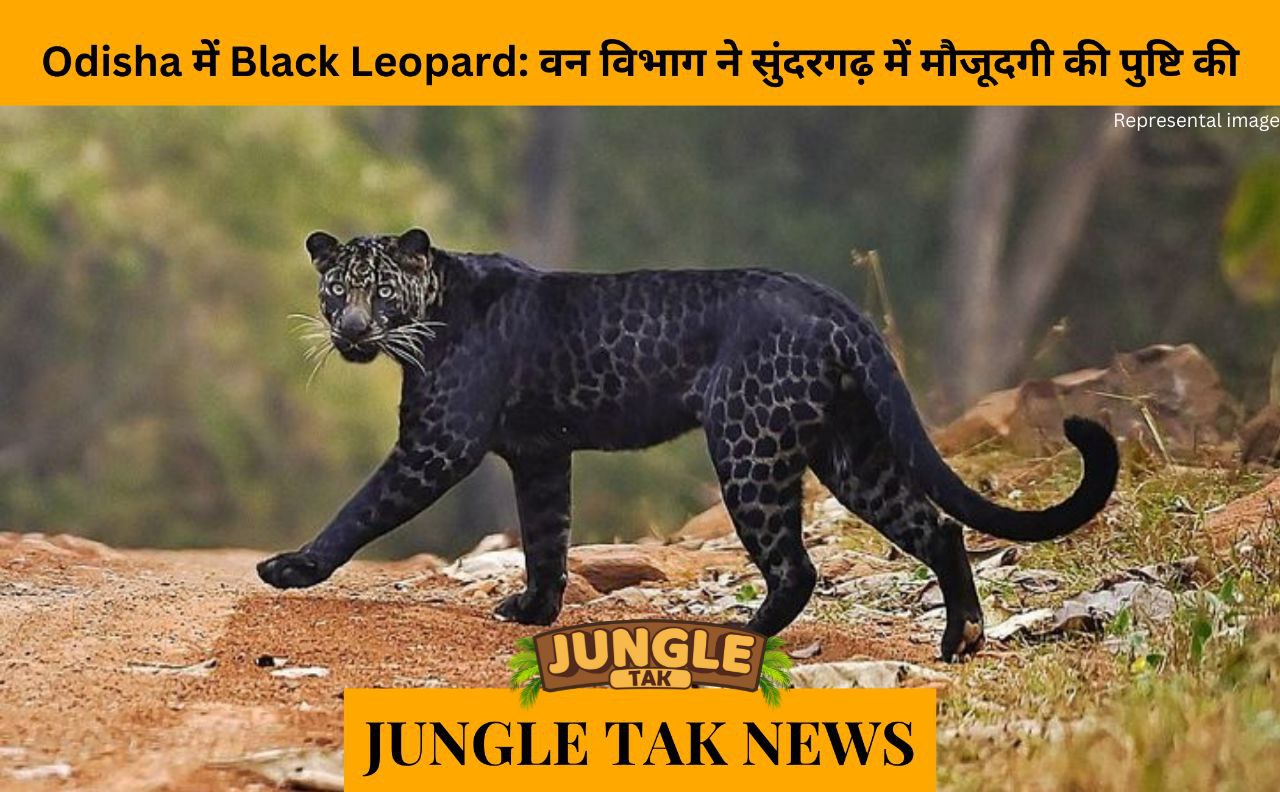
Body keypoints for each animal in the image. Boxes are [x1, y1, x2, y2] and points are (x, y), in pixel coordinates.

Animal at [257, 228, 1119, 661]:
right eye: (335, 290)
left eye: (379, 290)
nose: (351, 330)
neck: (430, 312)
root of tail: (836, 304)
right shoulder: (540, 456)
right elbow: (545, 538)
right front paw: (534, 610)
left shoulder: (438, 442)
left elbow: (362, 508)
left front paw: (292, 568)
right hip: (849, 452)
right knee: (936, 527)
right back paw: (959, 639)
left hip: (750, 445)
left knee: (797, 564)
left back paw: (744, 636)